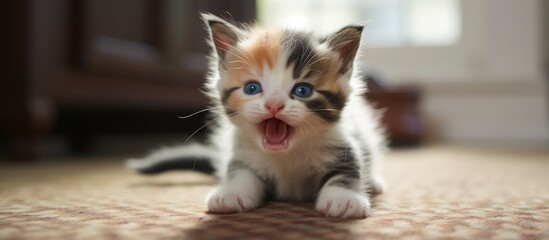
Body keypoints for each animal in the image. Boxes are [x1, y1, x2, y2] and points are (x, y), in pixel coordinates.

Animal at [128, 13, 386, 219]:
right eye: (252, 88)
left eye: (303, 91)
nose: (274, 105)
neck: (286, 156)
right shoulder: (243, 153)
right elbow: (240, 173)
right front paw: (231, 194)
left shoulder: (342, 143)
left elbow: (347, 171)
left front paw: (344, 199)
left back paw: (373, 182)